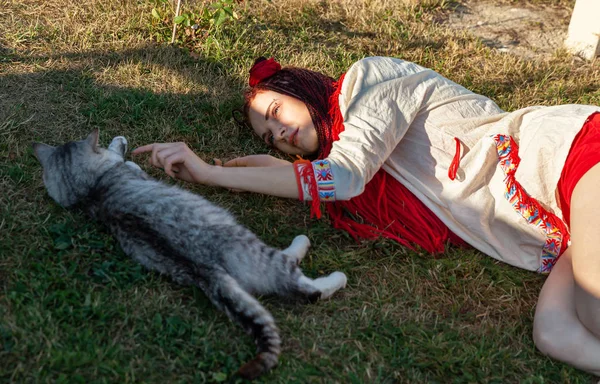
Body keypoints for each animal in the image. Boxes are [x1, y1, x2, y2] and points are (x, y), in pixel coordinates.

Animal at [32, 130, 346, 380]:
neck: (92, 190)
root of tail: (205, 269)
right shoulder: (127, 171)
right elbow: (123, 160)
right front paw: (118, 144)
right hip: (255, 248)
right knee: (304, 285)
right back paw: (322, 264)